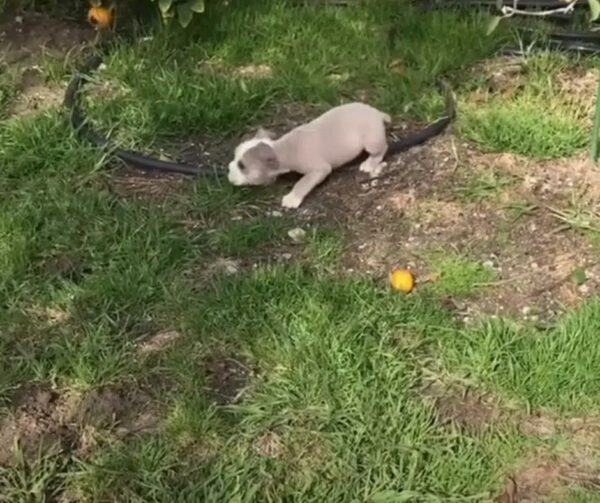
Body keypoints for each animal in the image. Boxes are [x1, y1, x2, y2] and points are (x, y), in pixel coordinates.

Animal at [227, 103, 392, 210]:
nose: (228, 170)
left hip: (371, 140)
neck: (281, 149)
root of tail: (376, 113)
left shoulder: (320, 169)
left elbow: (303, 182)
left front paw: (292, 198)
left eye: (242, 166)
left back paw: (370, 163)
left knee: (382, 149)